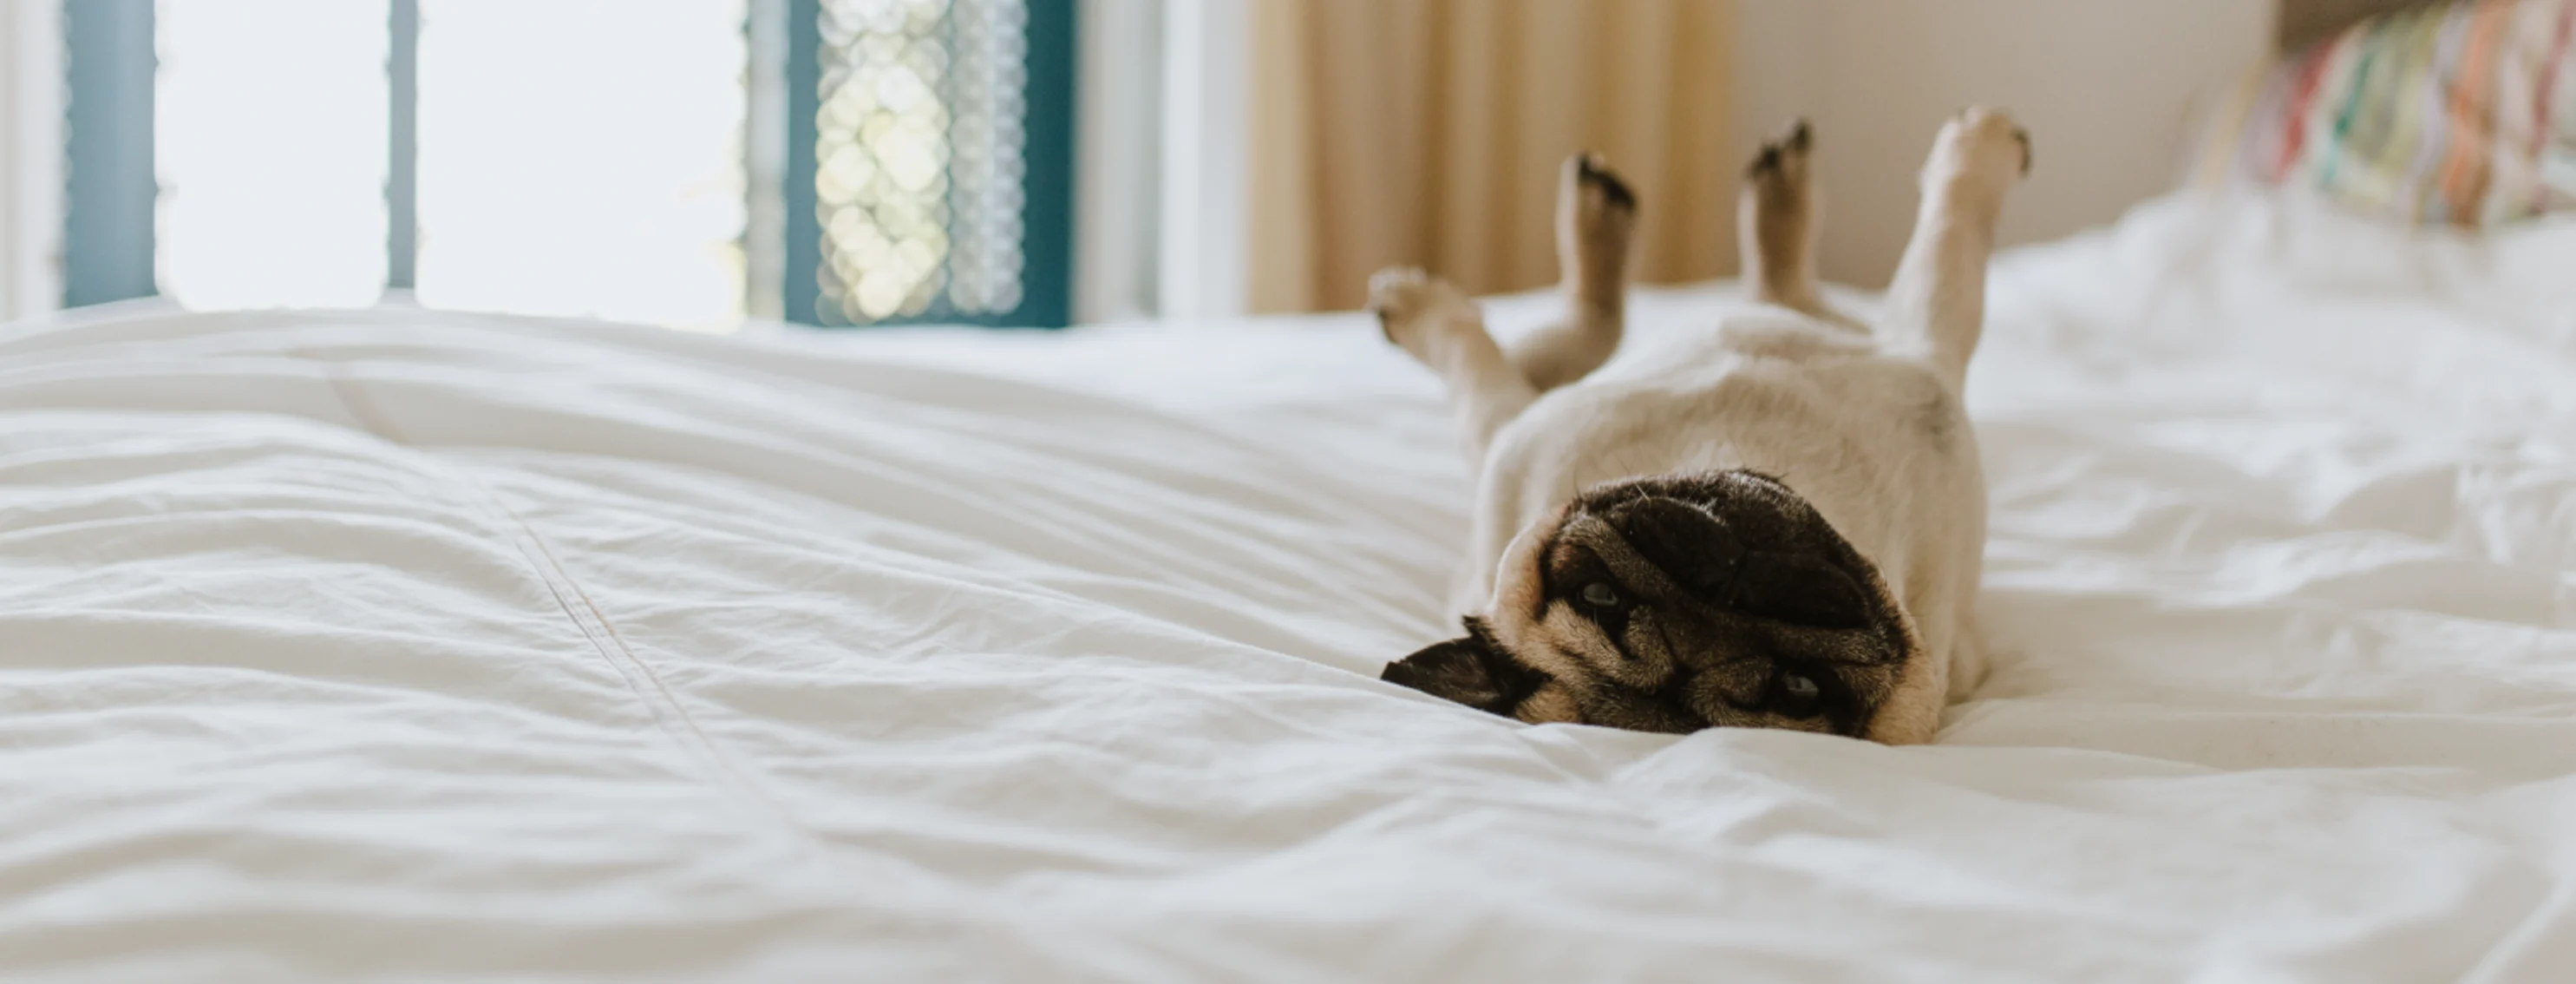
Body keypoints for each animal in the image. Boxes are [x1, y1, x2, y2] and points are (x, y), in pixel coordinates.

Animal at [1370, 107, 2030, 741]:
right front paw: (1980, 152)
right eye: (1800, 688)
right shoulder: (1924, 347)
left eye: (1599, 596)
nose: (1722, 592)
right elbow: (1949, 244)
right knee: (1556, 336)